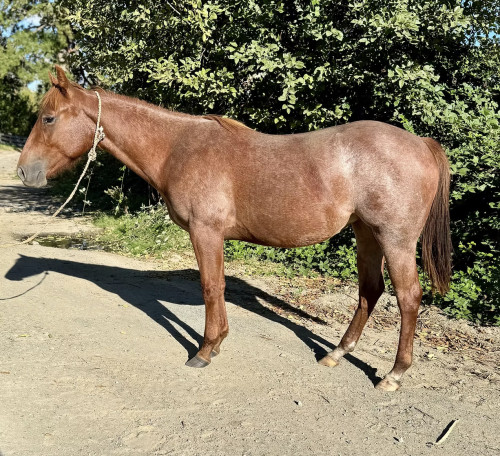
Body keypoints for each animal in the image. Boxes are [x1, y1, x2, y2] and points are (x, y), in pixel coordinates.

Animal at [17, 66, 451, 391]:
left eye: (48, 118)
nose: (24, 171)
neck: (177, 148)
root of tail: (422, 143)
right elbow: (218, 286)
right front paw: (217, 344)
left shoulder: (204, 231)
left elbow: (211, 286)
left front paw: (205, 350)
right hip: (366, 234)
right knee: (369, 292)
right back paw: (336, 354)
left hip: (394, 239)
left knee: (408, 297)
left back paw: (394, 374)